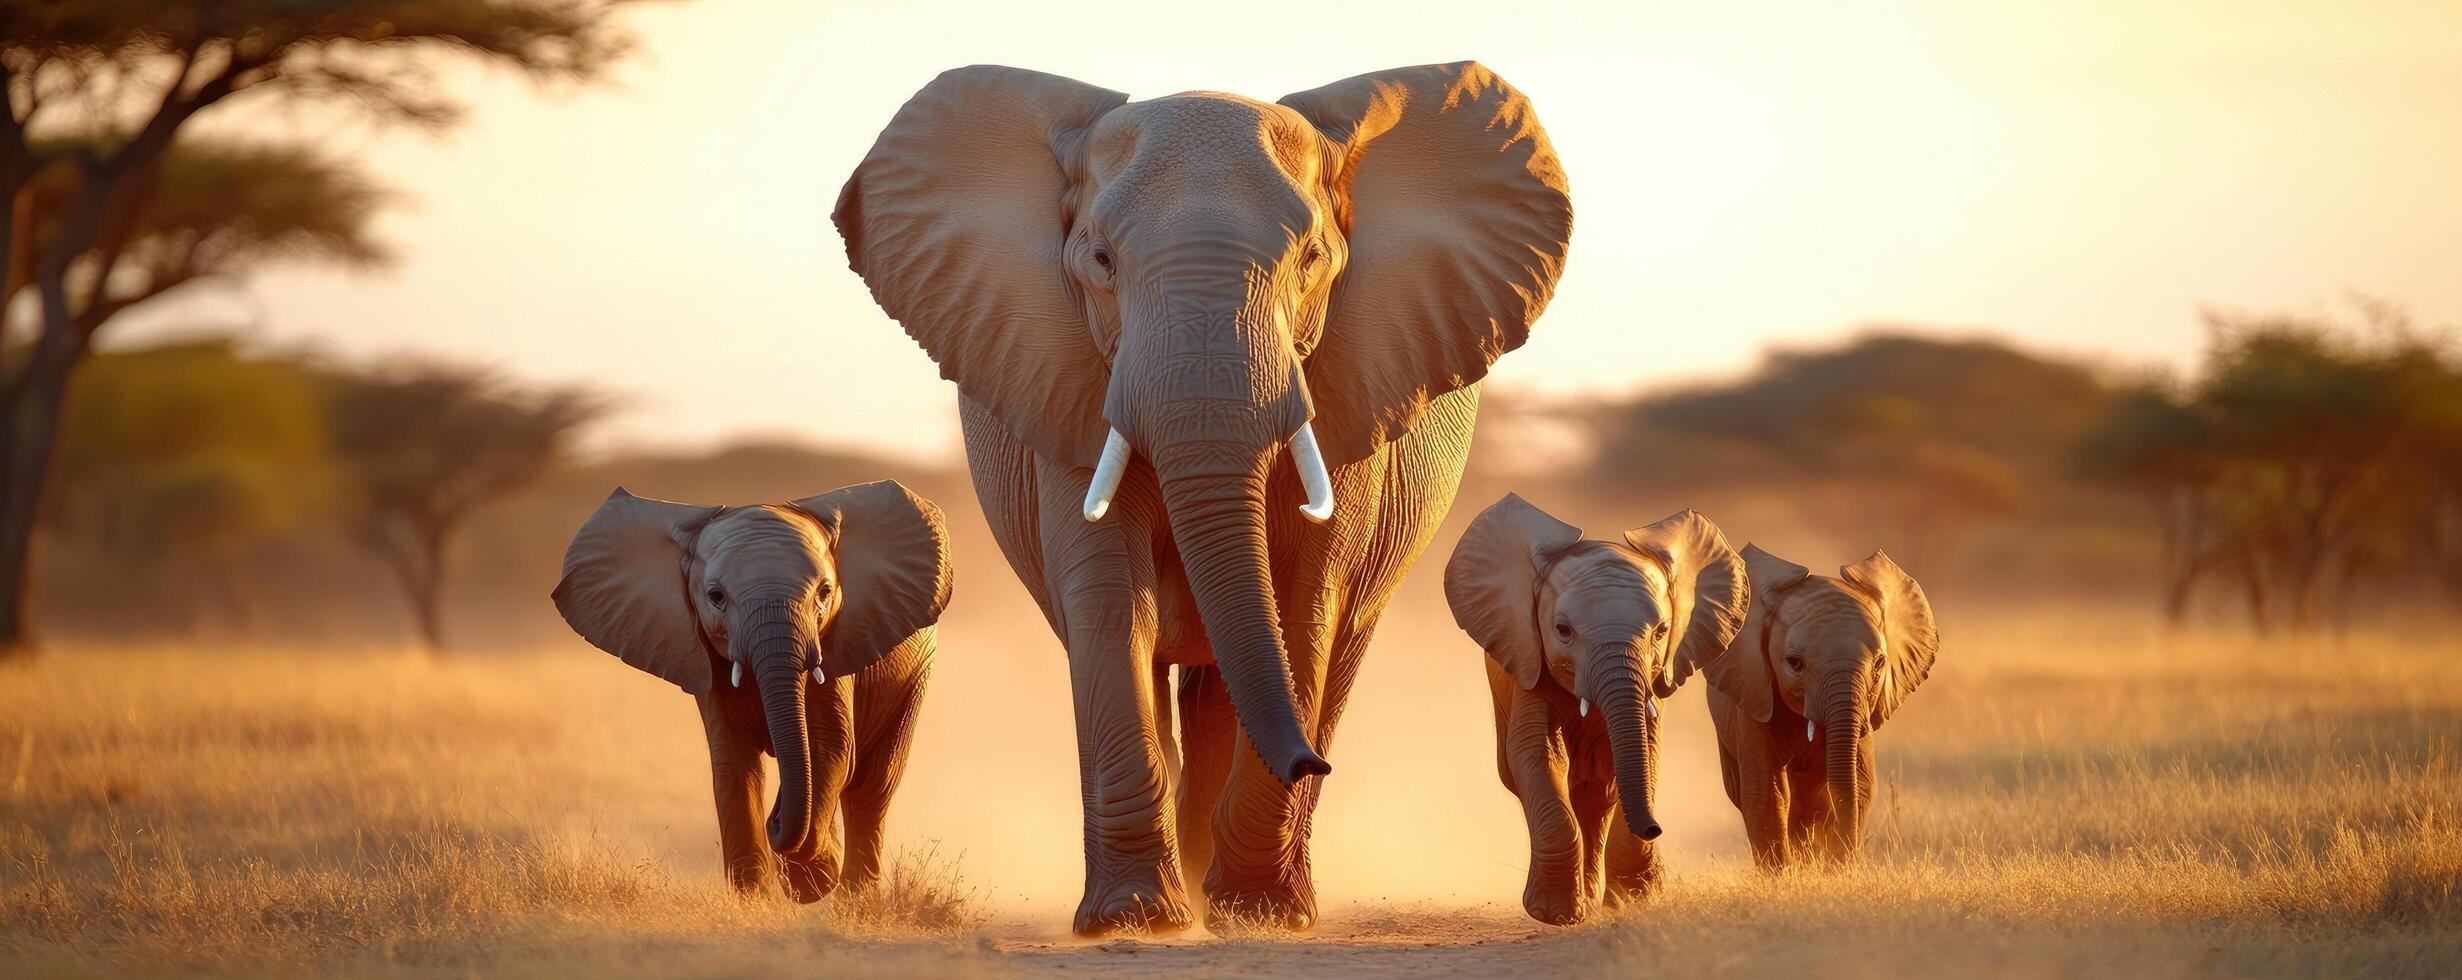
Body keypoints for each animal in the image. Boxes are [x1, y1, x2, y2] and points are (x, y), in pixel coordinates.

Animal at [550, 480, 952, 902]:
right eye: (715, 596)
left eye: (825, 592)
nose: (775, 820)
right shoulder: (704, 656)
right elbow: (732, 761)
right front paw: (755, 897)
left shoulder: (840, 642)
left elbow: (831, 746)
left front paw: (809, 878)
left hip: (916, 672)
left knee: (873, 785)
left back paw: (854, 898)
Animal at [834, 62, 1571, 934]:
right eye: (1101, 260)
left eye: (1312, 258)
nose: (1312, 762)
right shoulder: (1066, 381)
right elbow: (1111, 600)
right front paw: (1130, 919)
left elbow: (1302, 605)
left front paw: (1257, 912)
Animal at [1442, 495, 1748, 924]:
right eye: (1562, 630)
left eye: (1661, 632)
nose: (1655, 829)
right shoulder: (1529, 667)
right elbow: (1536, 755)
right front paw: (1553, 914)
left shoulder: (1655, 681)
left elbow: (1645, 756)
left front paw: (1634, 901)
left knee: (1596, 792)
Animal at [1702, 545, 1938, 868]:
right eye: (1795, 664)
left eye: (1879, 664)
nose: (1847, 860)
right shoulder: (1752, 695)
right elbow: (1767, 792)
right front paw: (1782, 874)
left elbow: (1860, 785)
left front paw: (1833, 869)